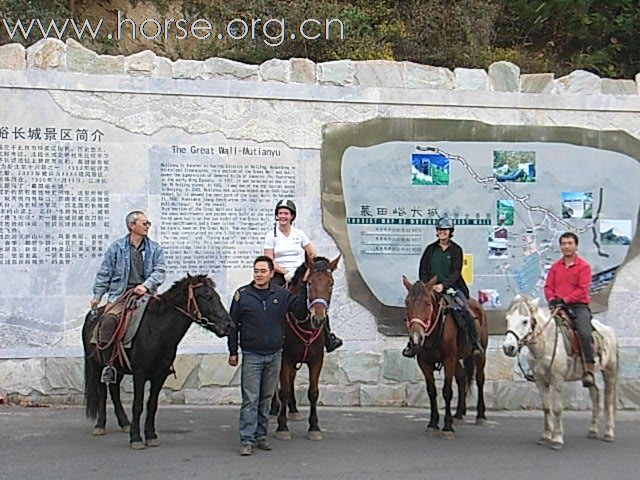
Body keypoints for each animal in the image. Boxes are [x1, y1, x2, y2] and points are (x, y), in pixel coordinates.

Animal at [274, 255, 340, 442]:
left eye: (331, 283)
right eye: (309, 283)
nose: (318, 319)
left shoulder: (317, 360)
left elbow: (313, 392)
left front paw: (314, 427)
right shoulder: (285, 359)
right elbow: (283, 390)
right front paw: (282, 427)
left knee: (291, 378)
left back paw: (293, 410)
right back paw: (274, 409)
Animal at [402, 276, 488, 436]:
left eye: (427, 303)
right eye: (407, 303)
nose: (416, 338)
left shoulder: (449, 360)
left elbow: (447, 391)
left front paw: (447, 427)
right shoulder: (424, 362)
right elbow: (431, 391)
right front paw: (433, 424)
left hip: (480, 355)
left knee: (480, 379)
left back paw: (481, 416)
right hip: (457, 360)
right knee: (462, 378)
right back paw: (459, 415)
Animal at [502, 294, 616, 448]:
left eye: (525, 321)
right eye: (507, 319)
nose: (508, 347)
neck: (546, 343)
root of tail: (609, 330)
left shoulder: (557, 380)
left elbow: (557, 408)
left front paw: (557, 439)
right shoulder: (540, 381)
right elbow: (546, 407)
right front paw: (546, 436)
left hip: (609, 371)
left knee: (609, 400)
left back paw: (609, 433)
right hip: (589, 376)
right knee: (595, 394)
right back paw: (593, 430)